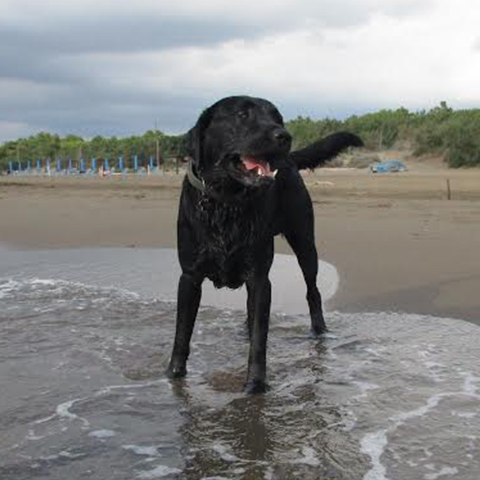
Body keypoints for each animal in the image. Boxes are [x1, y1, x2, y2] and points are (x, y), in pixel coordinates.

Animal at [167, 95, 362, 392]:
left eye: (278, 118)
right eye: (242, 114)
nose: (284, 136)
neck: (227, 203)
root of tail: (289, 160)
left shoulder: (260, 279)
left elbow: (260, 340)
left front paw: (255, 386)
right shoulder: (189, 277)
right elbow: (182, 332)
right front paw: (174, 375)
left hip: (305, 242)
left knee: (313, 292)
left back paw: (319, 332)